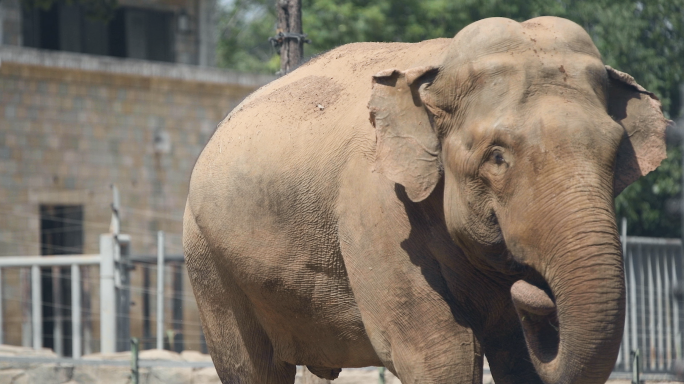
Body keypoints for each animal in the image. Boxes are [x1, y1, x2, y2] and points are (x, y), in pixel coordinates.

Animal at [182, 16, 668, 384]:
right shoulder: (375, 205)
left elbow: (516, 358)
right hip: (209, 260)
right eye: (497, 157)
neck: (437, 70)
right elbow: (440, 353)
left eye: (614, 153)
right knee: (251, 369)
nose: (533, 289)